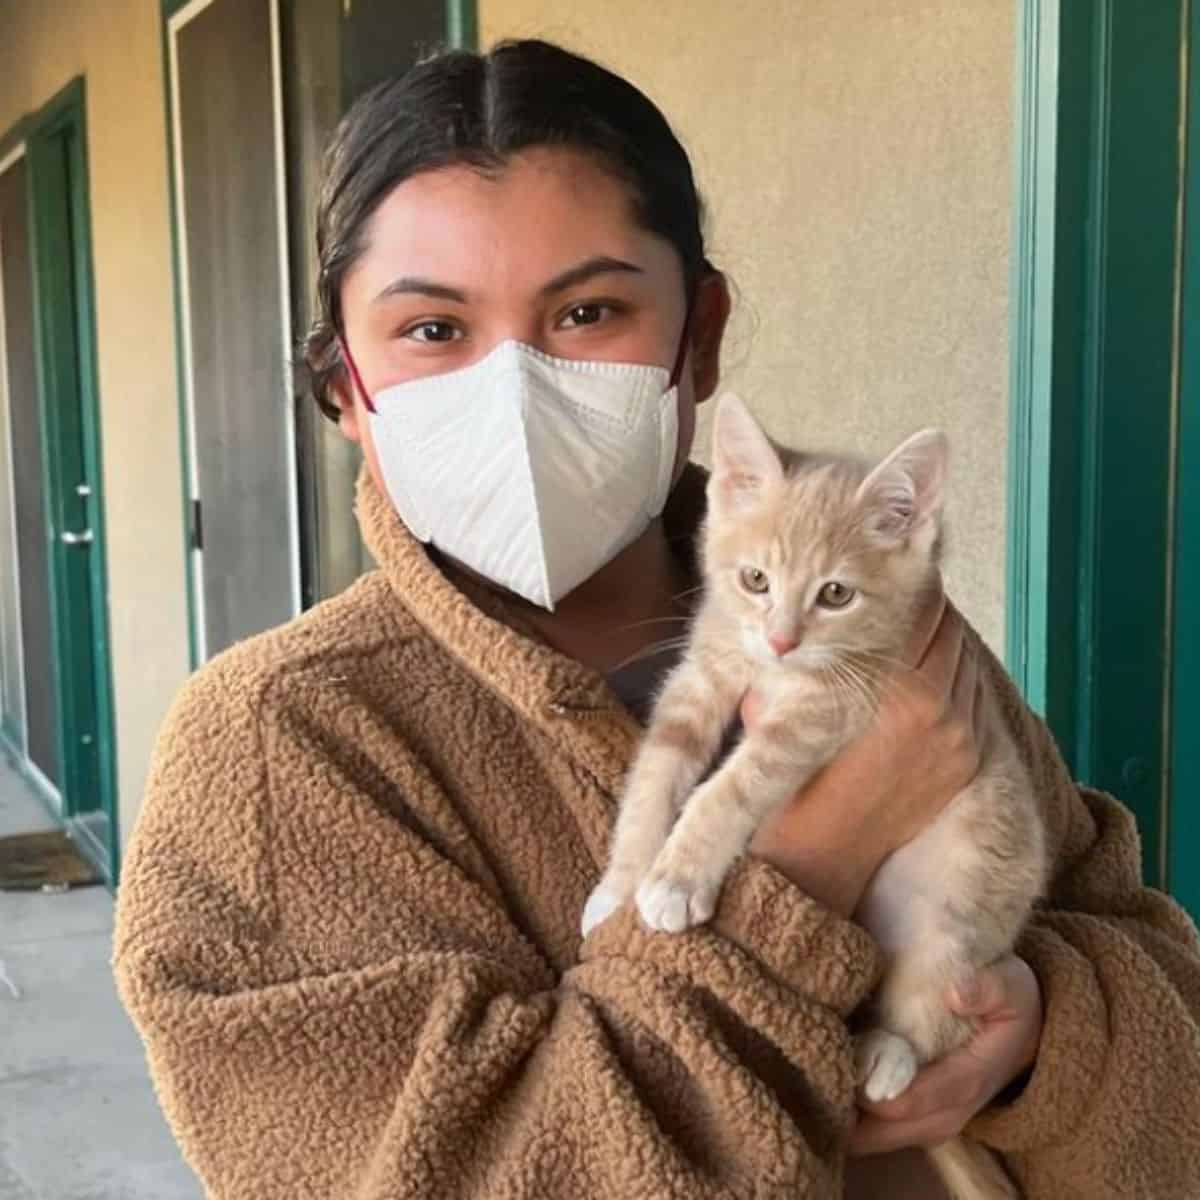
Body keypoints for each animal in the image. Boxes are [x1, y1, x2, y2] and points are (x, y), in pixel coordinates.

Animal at [585, 396, 1046, 1200]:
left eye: (836, 594)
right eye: (755, 580)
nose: (781, 640)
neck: (778, 672)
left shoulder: (828, 712)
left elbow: (730, 787)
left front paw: (675, 879)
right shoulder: (707, 665)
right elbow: (657, 771)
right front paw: (624, 880)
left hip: (968, 897)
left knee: (940, 989)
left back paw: (890, 1052)